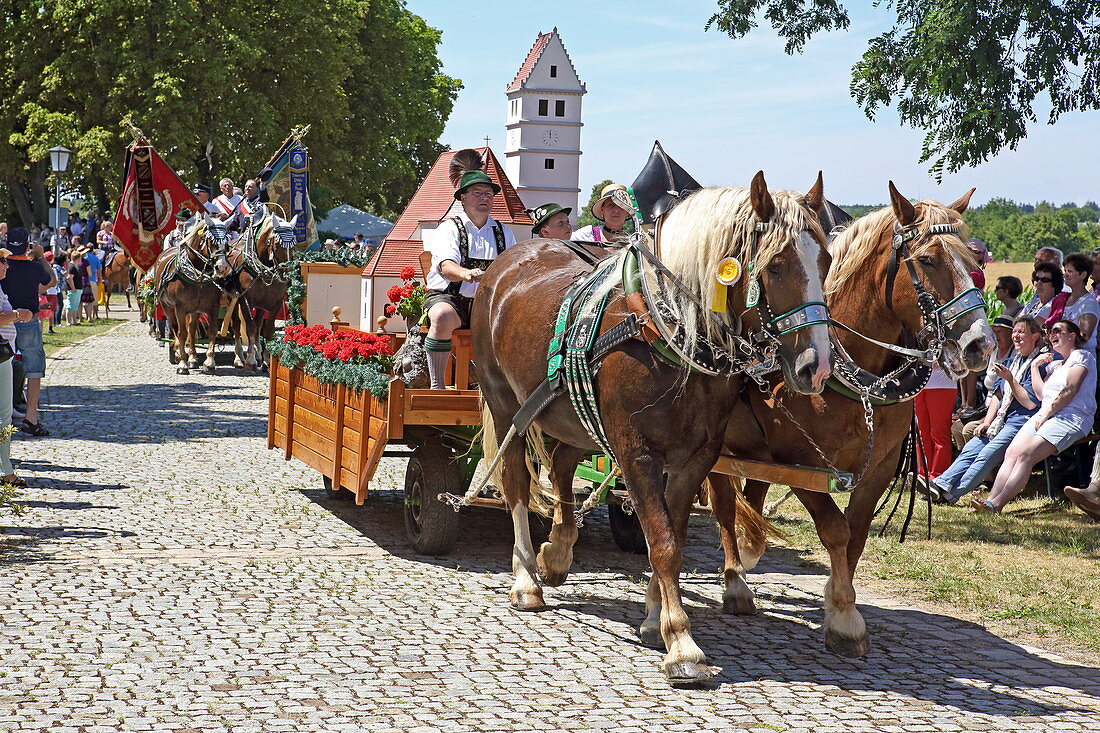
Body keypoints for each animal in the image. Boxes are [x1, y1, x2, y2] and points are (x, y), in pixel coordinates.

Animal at [473, 172, 831, 686]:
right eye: (777, 266)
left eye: (825, 260)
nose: (815, 367)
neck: (668, 328)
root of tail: (506, 262)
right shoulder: (635, 452)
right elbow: (662, 542)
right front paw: (681, 642)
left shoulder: (694, 458)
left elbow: (670, 536)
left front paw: (654, 617)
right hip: (508, 410)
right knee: (517, 484)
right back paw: (526, 580)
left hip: (571, 415)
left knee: (561, 465)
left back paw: (556, 553)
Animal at [712, 182, 998, 655]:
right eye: (928, 260)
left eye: (975, 265)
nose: (982, 345)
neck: (855, 378)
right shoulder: (803, 464)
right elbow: (835, 530)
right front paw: (845, 617)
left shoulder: (878, 468)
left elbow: (857, 534)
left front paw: (837, 600)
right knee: (722, 502)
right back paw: (736, 581)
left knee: (749, 497)